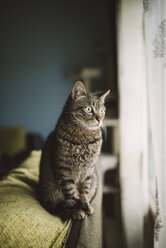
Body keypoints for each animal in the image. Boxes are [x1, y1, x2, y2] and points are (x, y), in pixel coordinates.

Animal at [38, 81, 109, 219]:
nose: (99, 119)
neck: (84, 140)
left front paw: (86, 205)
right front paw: (78, 210)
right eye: (89, 109)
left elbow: (84, 192)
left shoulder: (88, 171)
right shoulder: (64, 170)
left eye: (102, 110)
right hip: (49, 190)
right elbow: (72, 192)